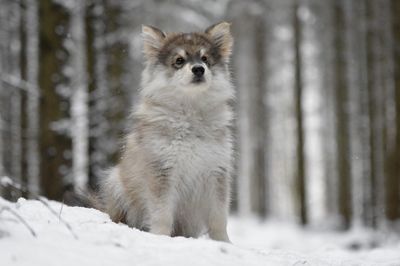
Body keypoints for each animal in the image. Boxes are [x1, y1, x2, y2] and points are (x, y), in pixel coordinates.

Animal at [97, 21, 234, 242]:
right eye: (179, 60)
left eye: (205, 59)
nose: (198, 69)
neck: (190, 114)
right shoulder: (161, 171)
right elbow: (162, 214)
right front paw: (160, 238)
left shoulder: (217, 172)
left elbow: (218, 217)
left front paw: (224, 243)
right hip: (116, 182)